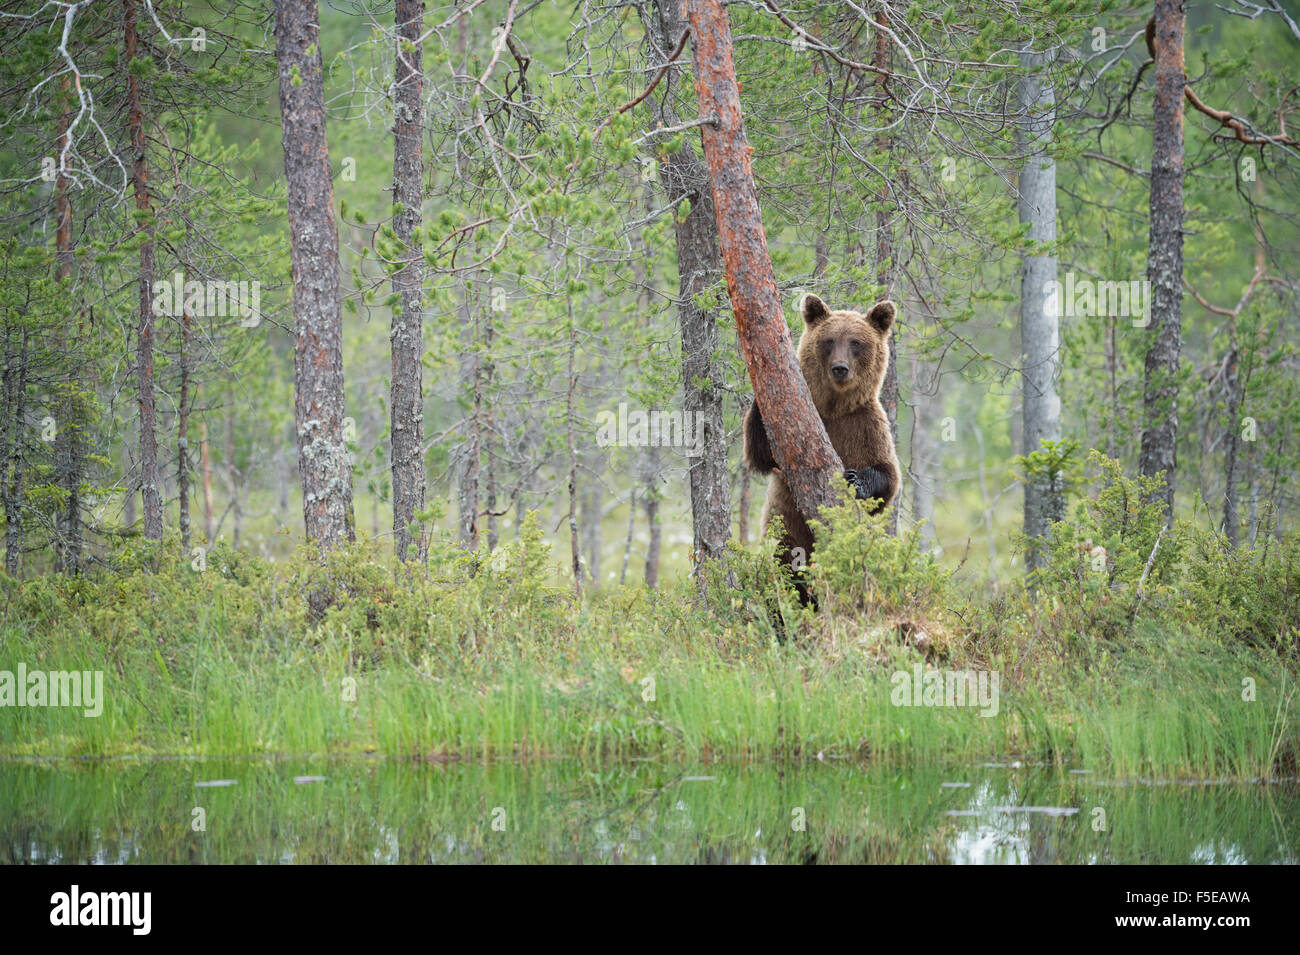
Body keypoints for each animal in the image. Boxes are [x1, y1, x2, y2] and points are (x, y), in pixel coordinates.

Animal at [748, 291, 899, 589]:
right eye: (829, 340)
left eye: (856, 342)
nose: (840, 368)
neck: (834, 408)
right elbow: (760, 454)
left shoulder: (866, 424)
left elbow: (888, 476)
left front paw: (856, 480)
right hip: (787, 526)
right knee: (788, 564)